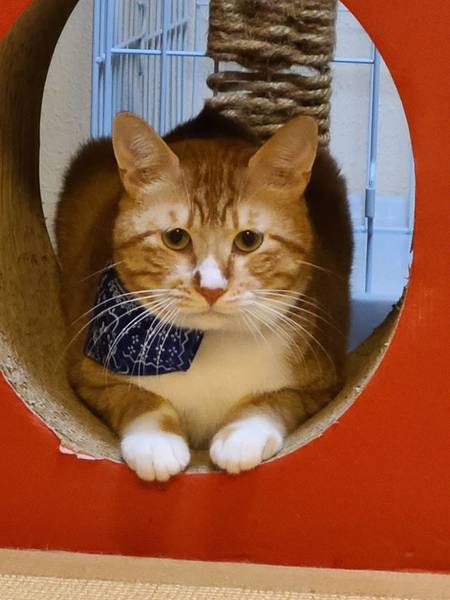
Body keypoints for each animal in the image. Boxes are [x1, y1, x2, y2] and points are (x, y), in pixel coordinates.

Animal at [56, 106, 353, 481]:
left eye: (249, 239)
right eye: (176, 238)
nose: (211, 288)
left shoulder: (320, 386)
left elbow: (274, 400)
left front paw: (242, 436)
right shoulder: (89, 378)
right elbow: (136, 398)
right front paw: (156, 442)